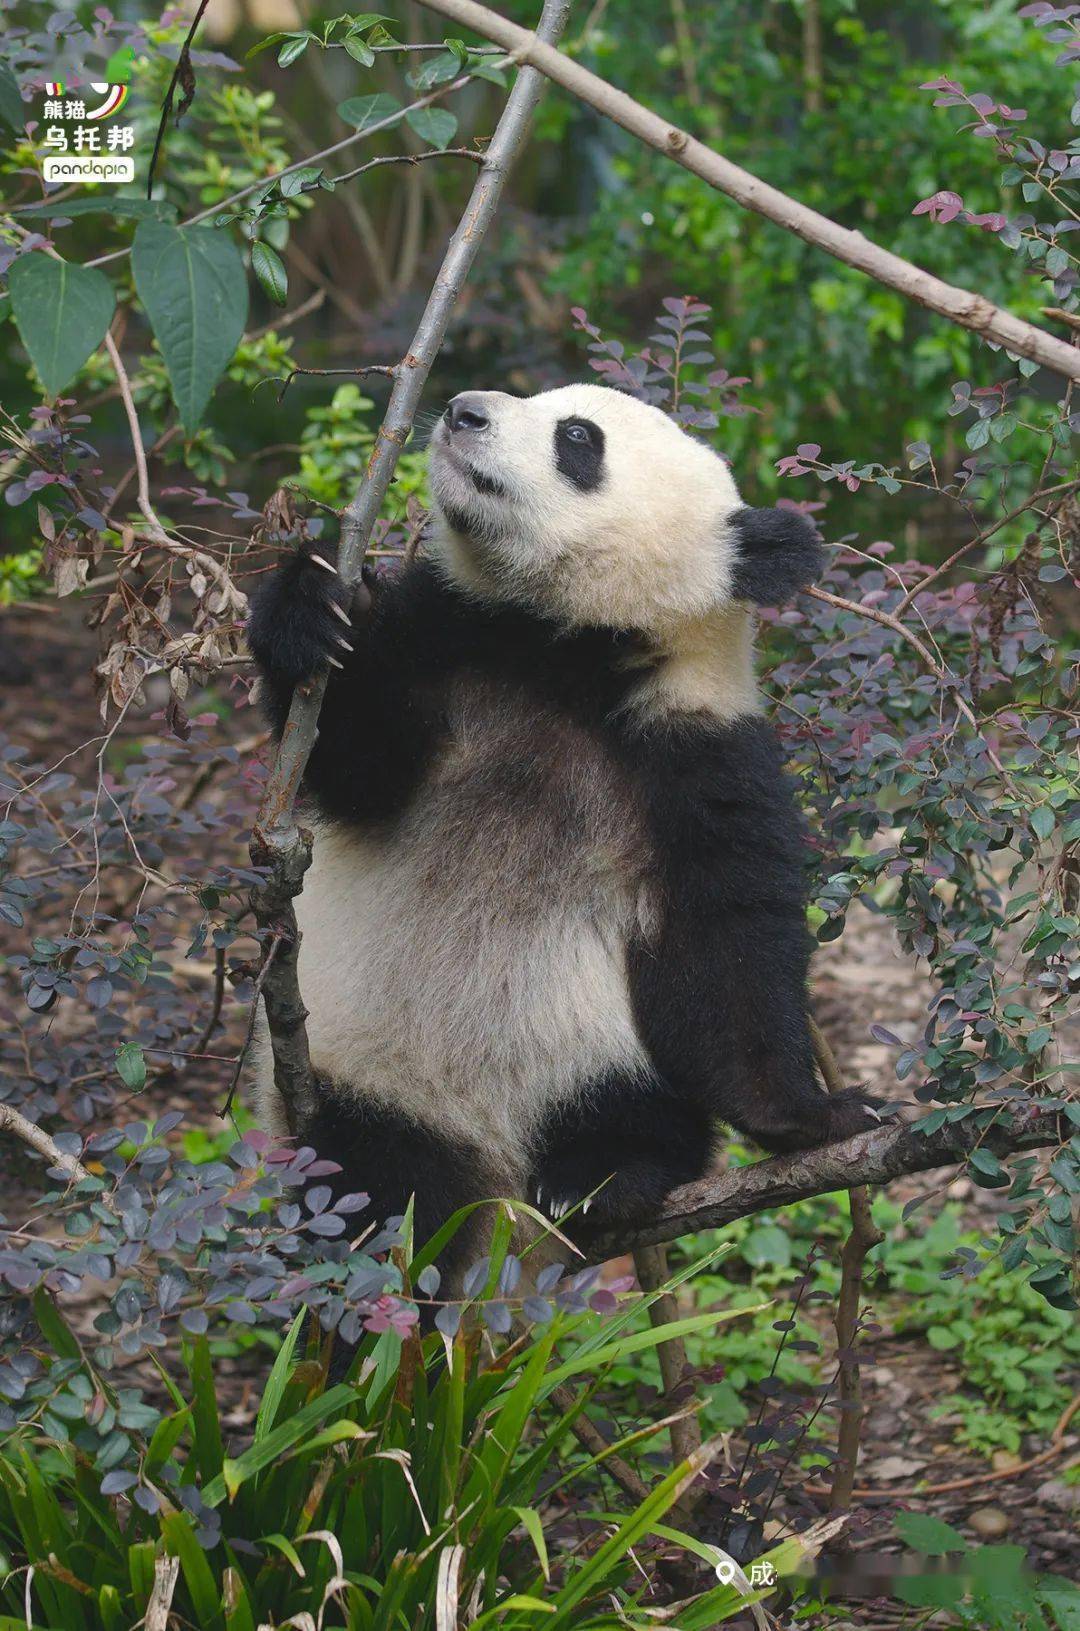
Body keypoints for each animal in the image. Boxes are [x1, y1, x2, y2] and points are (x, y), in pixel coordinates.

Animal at [249, 384, 887, 1285]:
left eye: (578, 438)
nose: (462, 409)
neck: (561, 645)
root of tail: (498, 1175)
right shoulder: (448, 643)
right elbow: (356, 756)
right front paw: (312, 604)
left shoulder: (692, 750)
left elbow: (726, 948)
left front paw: (813, 1115)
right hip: (368, 1072)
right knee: (369, 1183)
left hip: (586, 1053)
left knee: (633, 1108)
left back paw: (600, 1176)